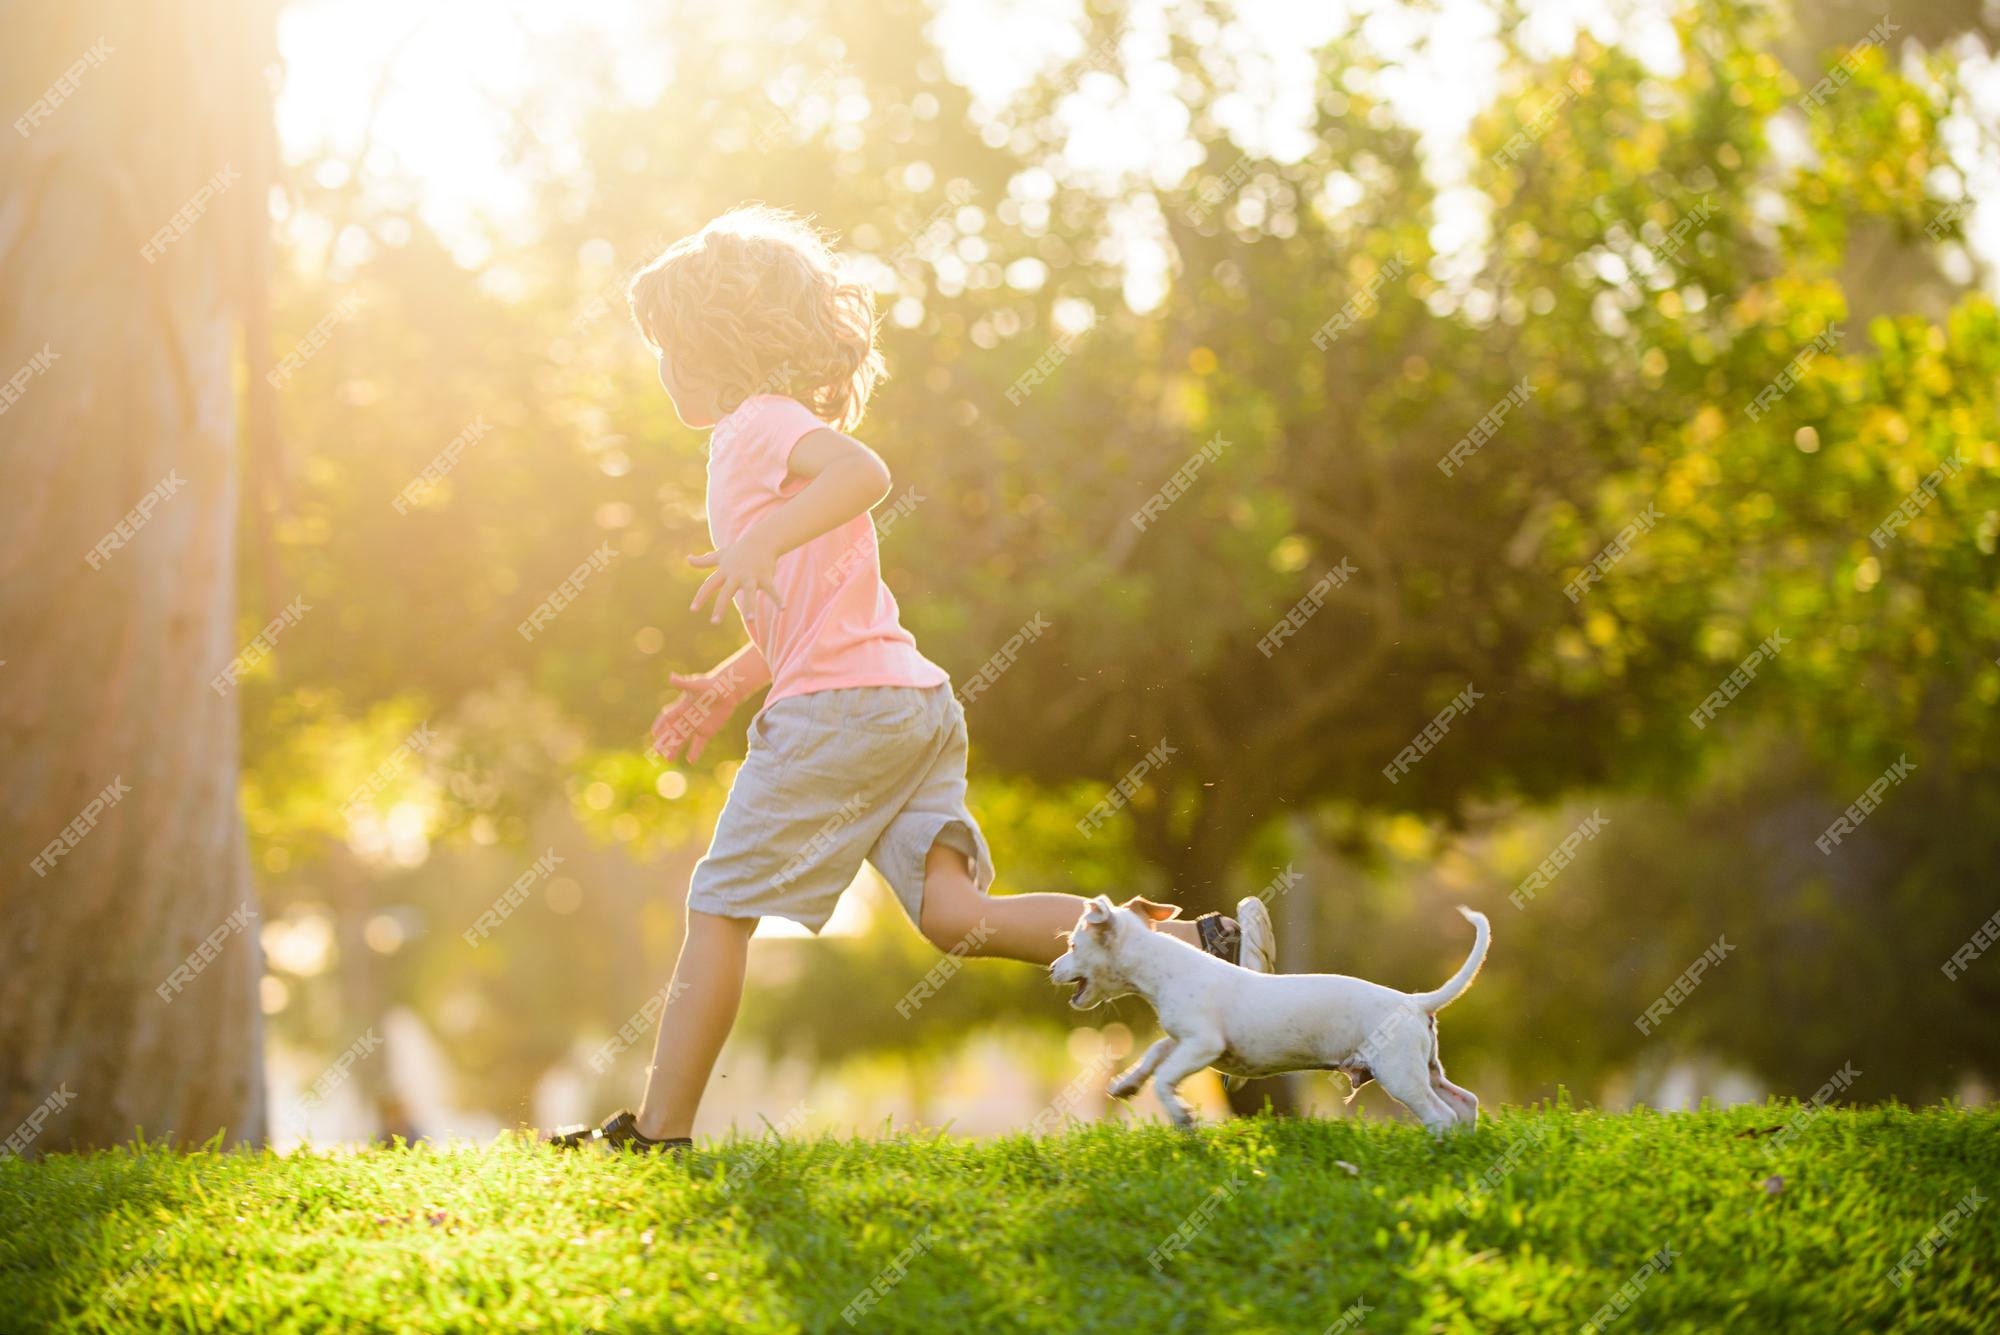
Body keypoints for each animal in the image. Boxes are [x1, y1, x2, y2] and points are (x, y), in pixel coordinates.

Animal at [1048, 891, 1488, 1135]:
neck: (1159, 965)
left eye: (1071, 946)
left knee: (1441, 1115)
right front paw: (1126, 1083)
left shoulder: (1202, 1044)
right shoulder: (1181, 1039)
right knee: (1465, 1102)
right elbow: (1155, 1053)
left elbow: (1166, 1077)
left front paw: (1181, 1115)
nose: (1051, 968)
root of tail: (1415, 1002)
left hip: (1399, 1074)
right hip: (1425, 1069)